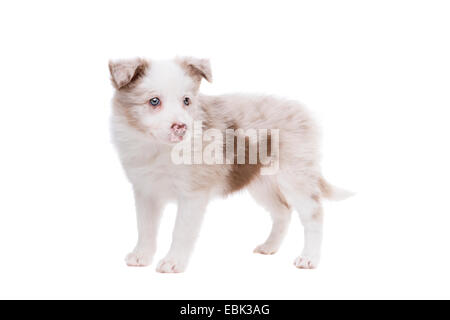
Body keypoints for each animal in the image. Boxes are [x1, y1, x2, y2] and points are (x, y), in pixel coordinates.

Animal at [109, 56, 352, 272]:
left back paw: (309, 258)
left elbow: (181, 230)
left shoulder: (193, 193)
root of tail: (305, 113)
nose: (181, 127)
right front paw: (141, 256)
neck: (158, 148)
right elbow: (145, 227)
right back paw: (270, 246)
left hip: (296, 175)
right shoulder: (145, 191)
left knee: (314, 214)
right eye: (154, 101)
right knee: (283, 211)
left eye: (186, 100)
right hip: (260, 182)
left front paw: (173, 262)